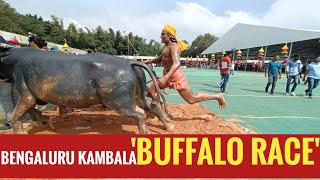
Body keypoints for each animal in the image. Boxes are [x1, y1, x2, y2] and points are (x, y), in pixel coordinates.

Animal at [0, 46, 174, 134]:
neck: (16, 61)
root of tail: (129, 63)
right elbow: (30, 111)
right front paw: (44, 120)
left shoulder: (26, 93)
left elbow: (17, 114)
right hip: (138, 95)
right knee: (153, 106)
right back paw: (169, 126)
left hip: (120, 102)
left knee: (140, 114)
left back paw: (146, 133)